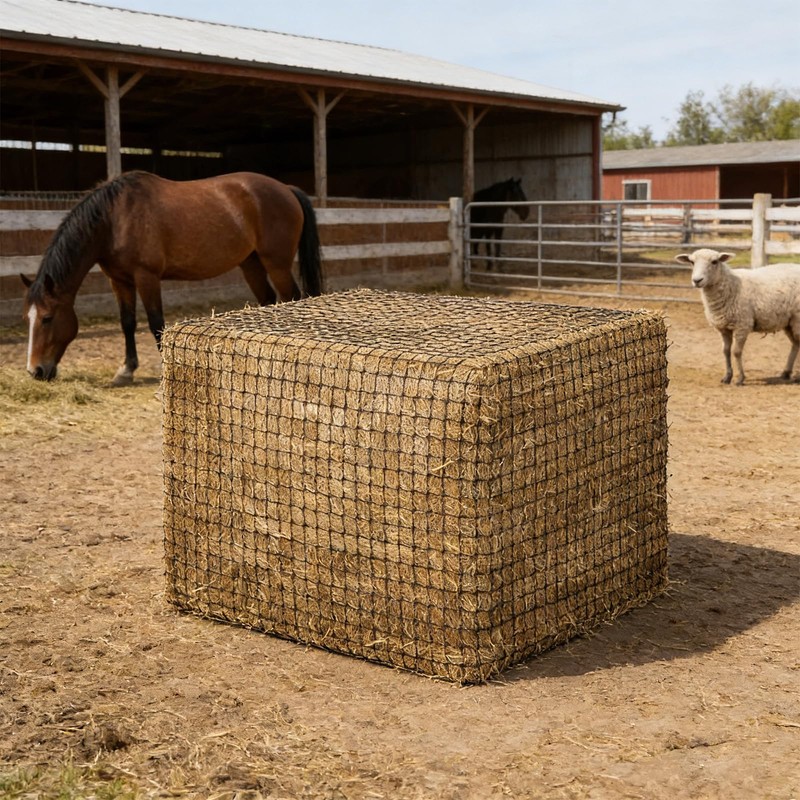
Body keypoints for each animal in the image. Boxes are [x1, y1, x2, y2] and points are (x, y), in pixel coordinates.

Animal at [21, 170, 323, 385]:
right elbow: (127, 322)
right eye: (28, 319)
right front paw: (126, 370)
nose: (36, 370)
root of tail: (286, 189)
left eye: (47, 318)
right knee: (268, 300)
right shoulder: (119, 280)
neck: (114, 219)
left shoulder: (147, 277)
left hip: (276, 264)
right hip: (251, 263)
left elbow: (156, 323)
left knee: (290, 298)